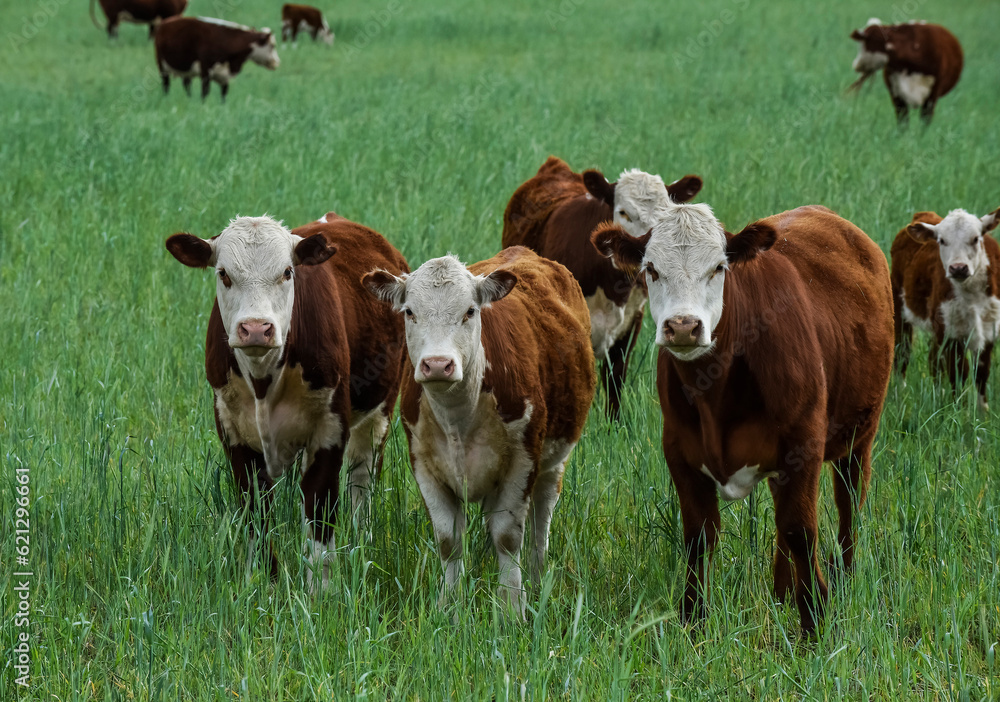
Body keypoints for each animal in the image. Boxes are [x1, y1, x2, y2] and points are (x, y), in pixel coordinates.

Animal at [165, 213, 408, 589]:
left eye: (287, 272)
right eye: (224, 274)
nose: (255, 328)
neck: (263, 380)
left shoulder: (330, 429)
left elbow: (320, 506)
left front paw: (320, 587)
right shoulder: (232, 431)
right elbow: (255, 510)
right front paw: (261, 581)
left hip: (379, 412)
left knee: (362, 477)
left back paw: (360, 540)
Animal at [363, 247, 596, 618]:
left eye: (470, 311)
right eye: (410, 311)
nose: (438, 364)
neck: (459, 416)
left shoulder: (522, 462)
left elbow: (507, 538)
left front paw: (513, 607)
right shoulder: (424, 465)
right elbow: (448, 541)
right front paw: (449, 606)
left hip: (554, 461)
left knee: (540, 520)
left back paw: (537, 578)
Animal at [592, 204, 894, 634]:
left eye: (719, 267)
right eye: (651, 269)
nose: (682, 327)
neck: (717, 391)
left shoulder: (803, 446)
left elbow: (801, 530)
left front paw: (814, 621)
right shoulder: (680, 452)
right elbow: (699, 536)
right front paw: (693, 620)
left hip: (859, 438)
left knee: (849, 501)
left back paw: (844, 577)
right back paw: (782, 592)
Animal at [891, 209, 1000, 411]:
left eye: (975, 238)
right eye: (942, 240)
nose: (958, 268)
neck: (971, 295)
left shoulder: (989, 331)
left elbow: (981, 375)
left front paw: (982, 415)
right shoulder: (950, 334)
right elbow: (958, 375)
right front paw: (960, 413)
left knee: (934, 361)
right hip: (900, 310)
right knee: (902, 354)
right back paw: (900, 399)